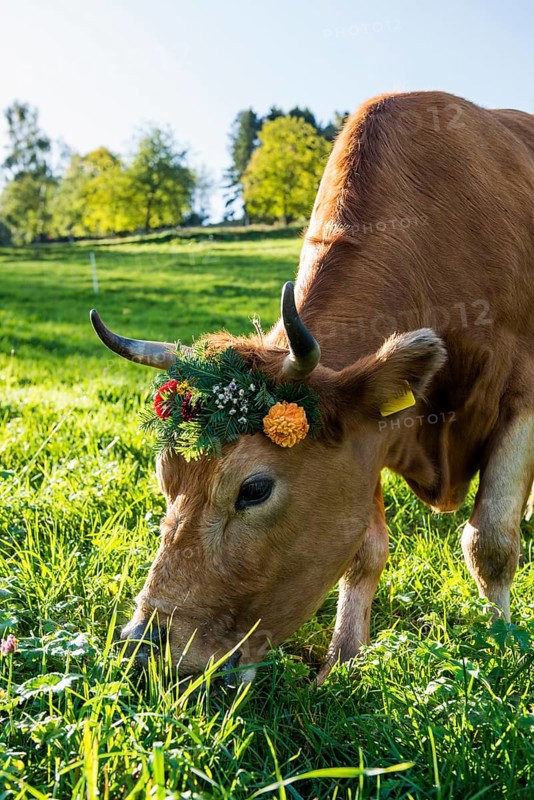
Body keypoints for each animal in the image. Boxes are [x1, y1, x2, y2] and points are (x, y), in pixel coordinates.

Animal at [91, 91, 534, 683]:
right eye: (166, 471)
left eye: (255, 489)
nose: (143, 651)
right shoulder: (370, 432)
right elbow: (365, 551)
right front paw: (343, 660)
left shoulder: (520, 394)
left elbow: (491, 542)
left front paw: (502, 648)